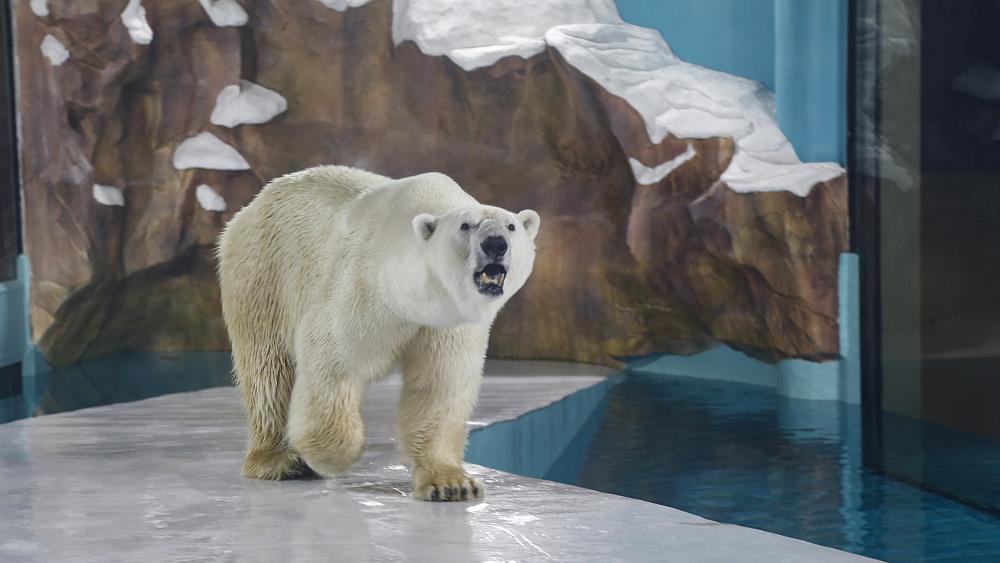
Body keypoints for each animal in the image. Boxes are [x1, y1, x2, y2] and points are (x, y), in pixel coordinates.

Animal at [217, 166, 540, 501]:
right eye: (465, 225)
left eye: (511, 226)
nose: (495, 243)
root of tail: (251, 206)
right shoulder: (365, 286)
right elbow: (331, 357)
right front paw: (327, 455)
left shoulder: (448, 319)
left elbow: (440, 384)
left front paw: (450, 484)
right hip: (263, 272)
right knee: (267, 368)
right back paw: (278, 460)